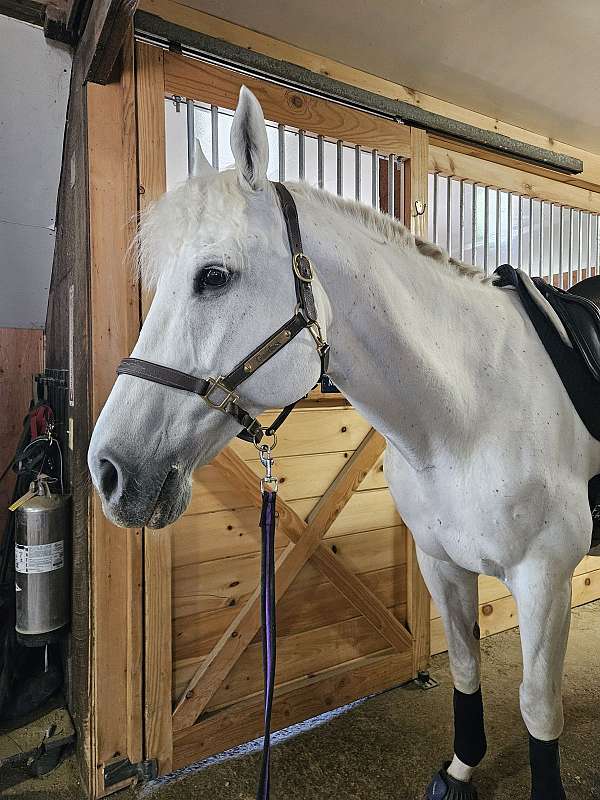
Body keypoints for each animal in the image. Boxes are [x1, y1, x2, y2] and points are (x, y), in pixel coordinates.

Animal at [88, 86, 600, 800]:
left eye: (213, 276)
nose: (108, 470)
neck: (473, 411)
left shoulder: (544, 578)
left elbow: (537, 705)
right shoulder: (441, 564)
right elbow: (464, 664)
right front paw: (461, 768)